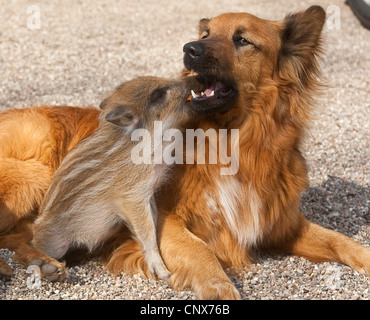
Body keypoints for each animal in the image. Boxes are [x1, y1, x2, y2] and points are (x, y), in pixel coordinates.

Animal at [98, 5, 370, 300]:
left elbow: (339, 240)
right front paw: (219, 288)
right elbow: (200, 249)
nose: (189, 48)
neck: (229, 142)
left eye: (242, 40)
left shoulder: (284, 227)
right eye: (206, 34)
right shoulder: (163, 219)